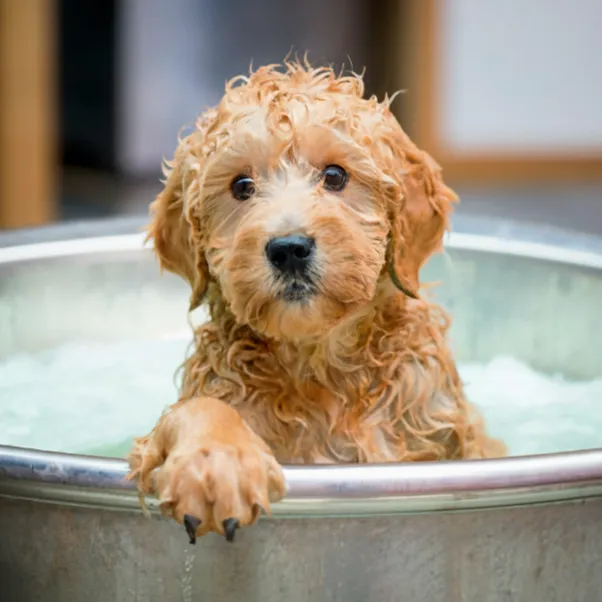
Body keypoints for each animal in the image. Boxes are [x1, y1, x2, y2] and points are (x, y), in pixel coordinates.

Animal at [129, 62, 504, 544]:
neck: (317, 364)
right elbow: (196, 409)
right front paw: (215, 462)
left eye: (335, 176)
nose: (289, 248)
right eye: (242, 185)